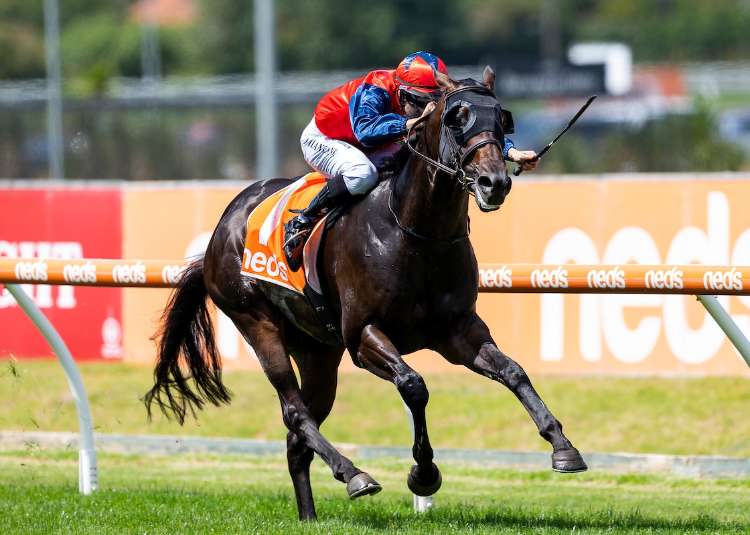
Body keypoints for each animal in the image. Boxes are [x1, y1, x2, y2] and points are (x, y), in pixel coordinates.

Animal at [144, 66, 587, 521]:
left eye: (503, 119)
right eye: (455, 118)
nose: (493, 182)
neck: (414, 233)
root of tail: (222, 228)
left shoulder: (457, 331)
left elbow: (514, 372)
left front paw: (563, 447)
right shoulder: (363, 335)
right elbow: (413, 384)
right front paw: (423, 473)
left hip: (318, 352)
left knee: (297, 437)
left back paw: (310, 515)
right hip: (256, 321)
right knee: (294, 412)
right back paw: (354, 474)